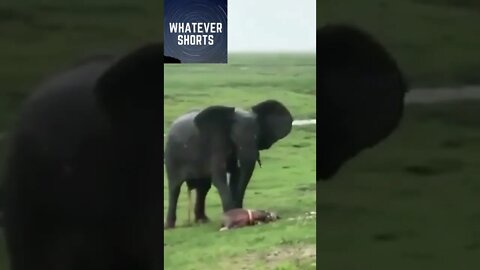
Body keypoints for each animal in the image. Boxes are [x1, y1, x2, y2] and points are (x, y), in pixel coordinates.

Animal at [165, 100, 292, 229]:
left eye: (257, 136)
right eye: (234, 137)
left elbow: (236, 176)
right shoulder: (216, 143)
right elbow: (219, 179)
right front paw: (231, 213)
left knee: (203, 187)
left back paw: (203, 220)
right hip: (171, 156)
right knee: (175, 187)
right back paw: (170, 226)